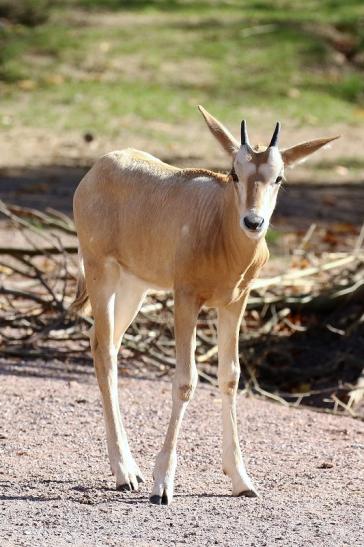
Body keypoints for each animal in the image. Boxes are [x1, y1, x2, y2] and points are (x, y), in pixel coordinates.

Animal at [71, 107, 338, 506]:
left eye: (278, 177)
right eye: (234, 173)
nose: (254, 222)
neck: (220, 224)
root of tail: (99, 167)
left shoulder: (235, 303)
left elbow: (230, 376)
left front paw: (241, 479)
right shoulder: (186, 298)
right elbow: (185, 380)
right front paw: (162, 486)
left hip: (135, 286)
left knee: (106, 344)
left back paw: (128, 468)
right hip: (101, 270)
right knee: (105, 351)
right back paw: (125, 473)